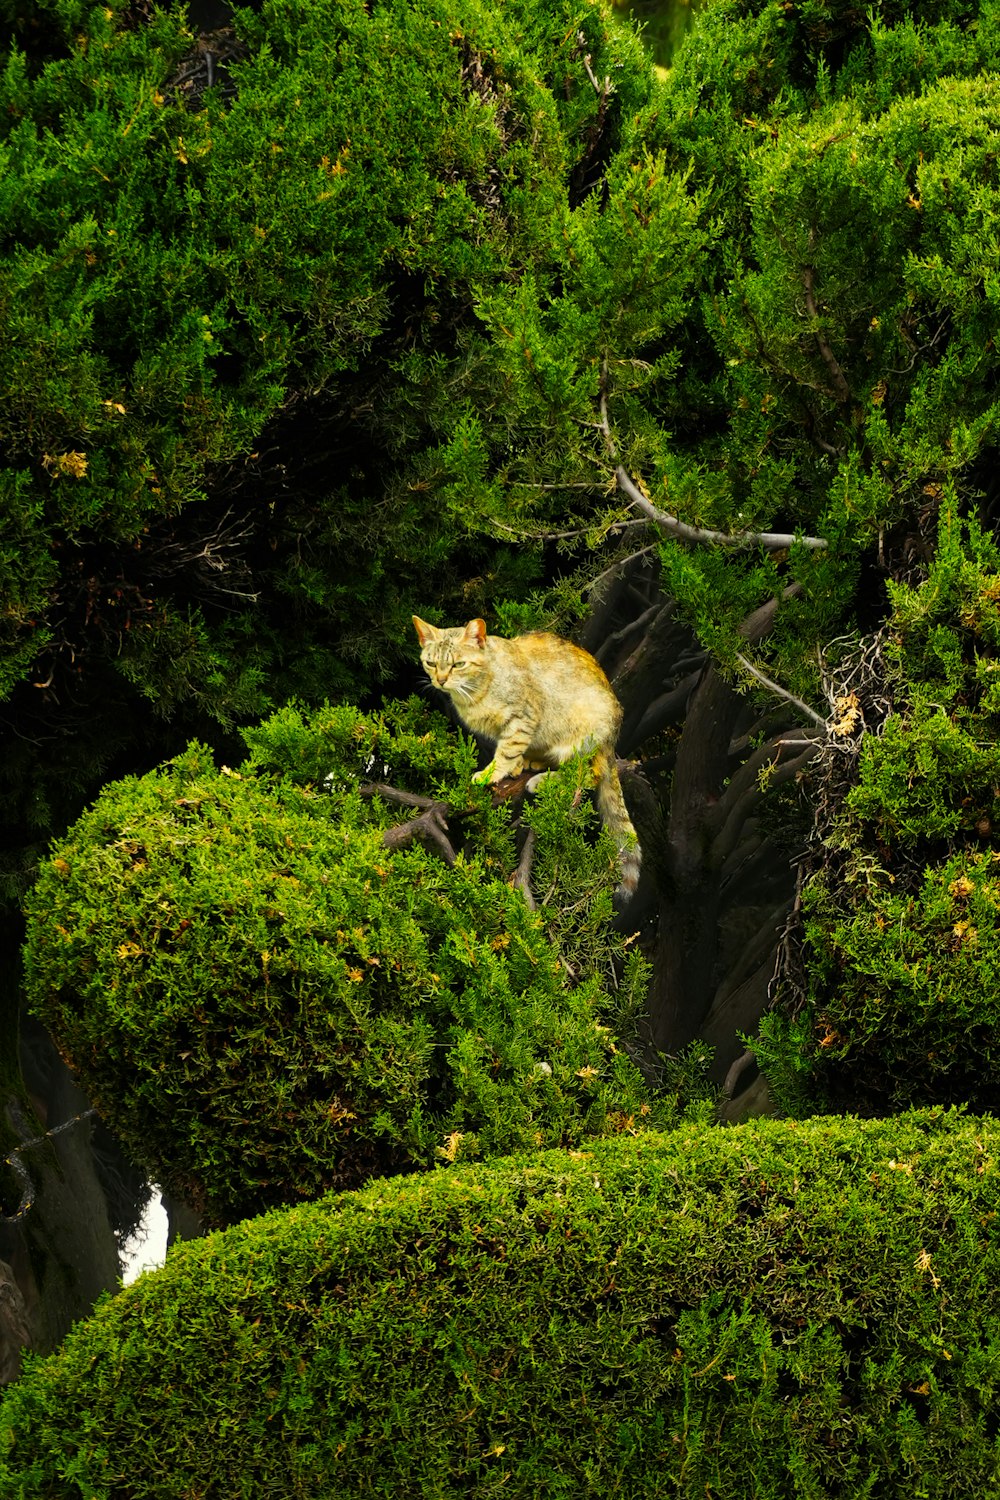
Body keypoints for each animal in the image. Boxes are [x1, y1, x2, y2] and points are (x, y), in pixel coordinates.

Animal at [413, 612, 641, 900]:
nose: (440, 681)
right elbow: (514, 748)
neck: (476, 691)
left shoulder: (523, 717)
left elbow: (508, 749)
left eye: (458, 664)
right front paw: (516, 765)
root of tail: (610, 743)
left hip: (585, 737)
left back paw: (543, 780)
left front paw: (492, 773)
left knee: (588, 775)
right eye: (431, 663)